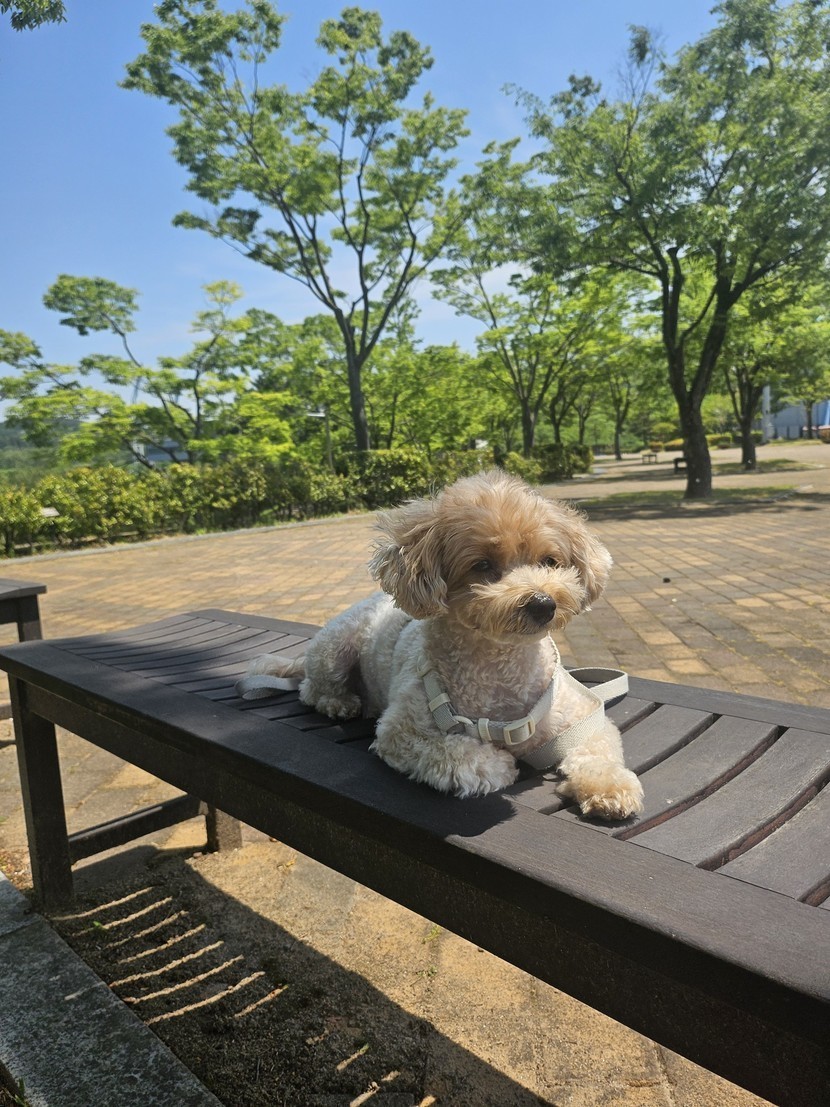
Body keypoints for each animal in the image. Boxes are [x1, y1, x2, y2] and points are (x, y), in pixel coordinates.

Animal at [243, 470, 644, 820]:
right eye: (483, 565)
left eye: (550, 561)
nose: (544, 604)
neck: (500, 670)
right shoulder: (403, 730)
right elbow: (459, 756)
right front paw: (498, 763)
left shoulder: (581, 718)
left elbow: (599, 749)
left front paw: (610, 788)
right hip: (335, 647)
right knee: (311, 688)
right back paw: (338, 702)